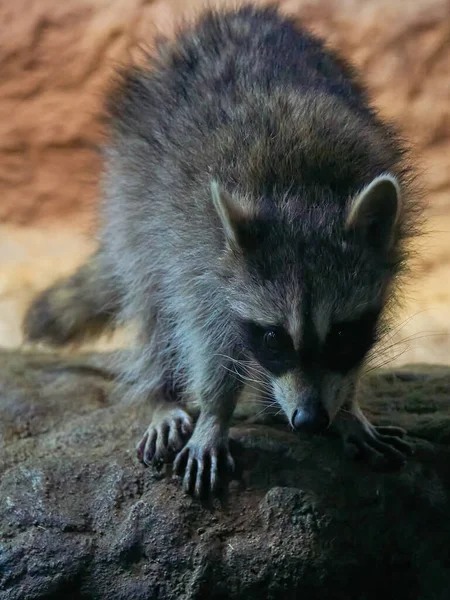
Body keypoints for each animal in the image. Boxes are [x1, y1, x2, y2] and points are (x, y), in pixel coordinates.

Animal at [22, 5, 420, 496]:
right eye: (273, 338)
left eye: (343, 334)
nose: (310, 420)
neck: (303, 192)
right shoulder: (196, 251)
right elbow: (205, 335)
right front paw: (214, 414)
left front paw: (348, 408)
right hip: (129, 190)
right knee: (151, 300)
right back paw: (163, 393)